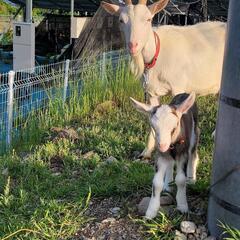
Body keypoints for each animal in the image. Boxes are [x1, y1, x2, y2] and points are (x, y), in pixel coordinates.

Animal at [101, 0, 225, 160]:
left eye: (148, 19)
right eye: (121, 20)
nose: (133, 46)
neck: (156, 54)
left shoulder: (179, 87)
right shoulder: (151, 92)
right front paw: (146, 153)